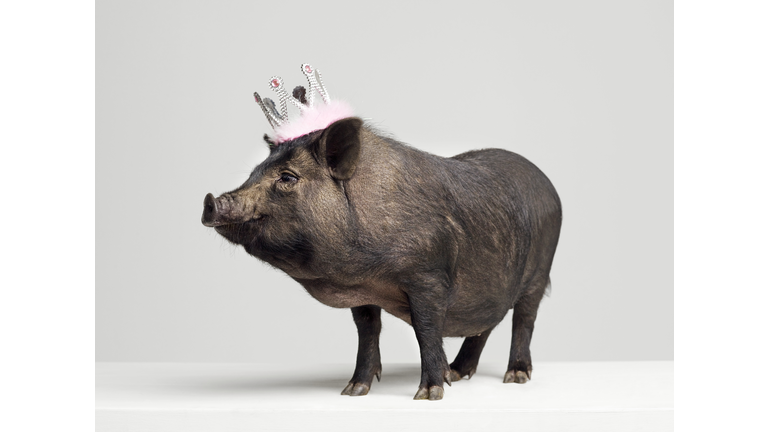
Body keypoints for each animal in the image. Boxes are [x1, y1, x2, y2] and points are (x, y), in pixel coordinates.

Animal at [202, 116, 564, 400]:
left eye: (288, 177)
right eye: (255, 172)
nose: (210, 201)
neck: (364, 275)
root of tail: (548, 184)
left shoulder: (428, 277)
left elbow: (426, 329)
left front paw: (430, 394)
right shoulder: (364, 294)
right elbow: (367, 331)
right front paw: (353, 390)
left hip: (540, 269)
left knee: (524, 319)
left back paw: (515, 377)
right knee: (486, 324)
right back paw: (458, 372)